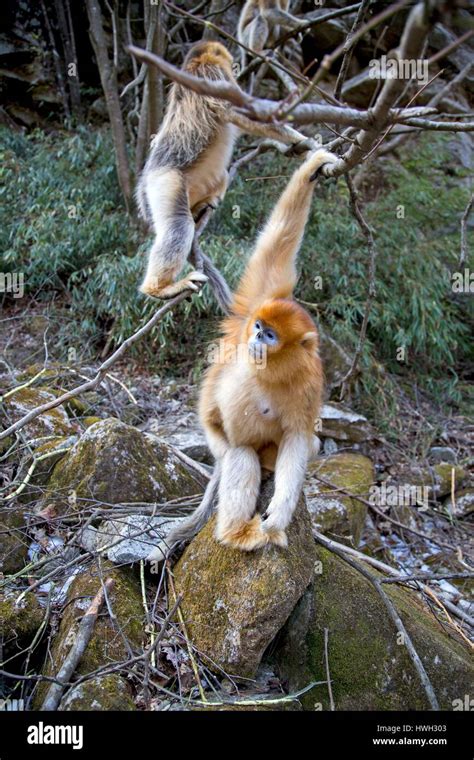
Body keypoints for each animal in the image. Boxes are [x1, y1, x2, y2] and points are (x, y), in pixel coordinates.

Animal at [155, 148, 336, 556]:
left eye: (270, 336)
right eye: (257, 329)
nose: (254, 340)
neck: (269, 367)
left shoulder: (310, 382)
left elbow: (299, 438)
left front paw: (280, 516)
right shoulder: (261, 299)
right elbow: (277, 243)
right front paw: (311, 169)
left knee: (302, 445)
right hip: (224, 441)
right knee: (238, 456)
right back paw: (237, 532)